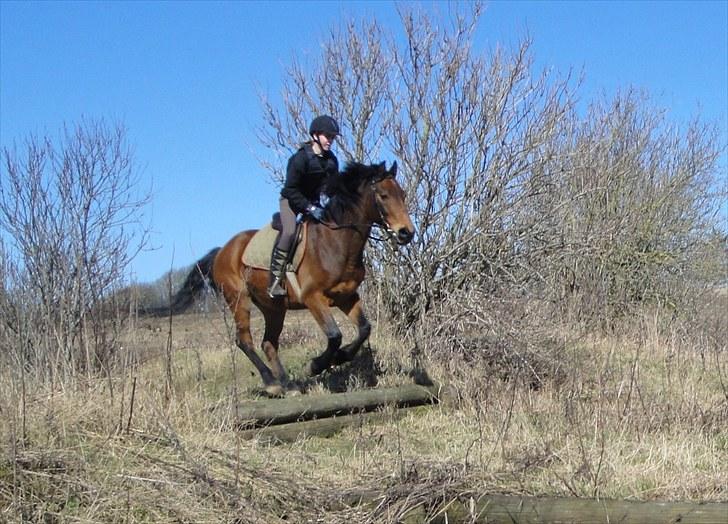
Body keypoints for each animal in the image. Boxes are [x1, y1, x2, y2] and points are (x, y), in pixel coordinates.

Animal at [167, 162, 412, 396]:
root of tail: (222, 251)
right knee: (244, 340)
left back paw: (288, 384)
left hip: (273, 308)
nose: (406, 233)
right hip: (238, 299)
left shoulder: (346, 296)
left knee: (268, 343)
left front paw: (339, 358)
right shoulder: (313, 298)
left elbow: (364, 329)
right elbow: (334, 335)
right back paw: (272, 383)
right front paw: (316, 366)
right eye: (383, 195)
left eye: (403, 194)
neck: (337, 242)